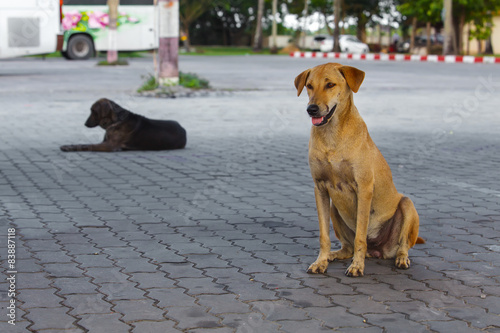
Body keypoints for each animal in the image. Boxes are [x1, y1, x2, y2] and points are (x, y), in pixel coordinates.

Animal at [294, 63, 424, 276]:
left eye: (330, 84)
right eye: (309, 86)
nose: (311, 109)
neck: (332, 136)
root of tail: (378, 250)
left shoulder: (363, 188)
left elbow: (360, 237)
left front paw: (357, 266)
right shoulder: (320, 188)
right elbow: (324, 235)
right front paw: (321, 261)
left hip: (407, 205)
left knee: (403, 244)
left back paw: (401, 258)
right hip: (334, 209)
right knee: (347, 247)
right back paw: (333, 255)